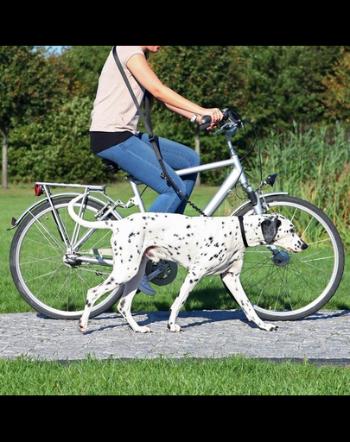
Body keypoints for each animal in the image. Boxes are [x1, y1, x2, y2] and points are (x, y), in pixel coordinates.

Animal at [67, 195, 306, 334]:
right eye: (291, 229)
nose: (305, 245)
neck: (237, 232)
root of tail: (118, 223)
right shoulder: (195, 274)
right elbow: (179, 301)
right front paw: (171, 325)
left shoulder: (231, 278)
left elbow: (248, 306)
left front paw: (264, 325)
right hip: (126, 271)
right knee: (92, 292)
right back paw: (83, 325)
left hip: (134, 274)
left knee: (123, 305)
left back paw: (138, 329)